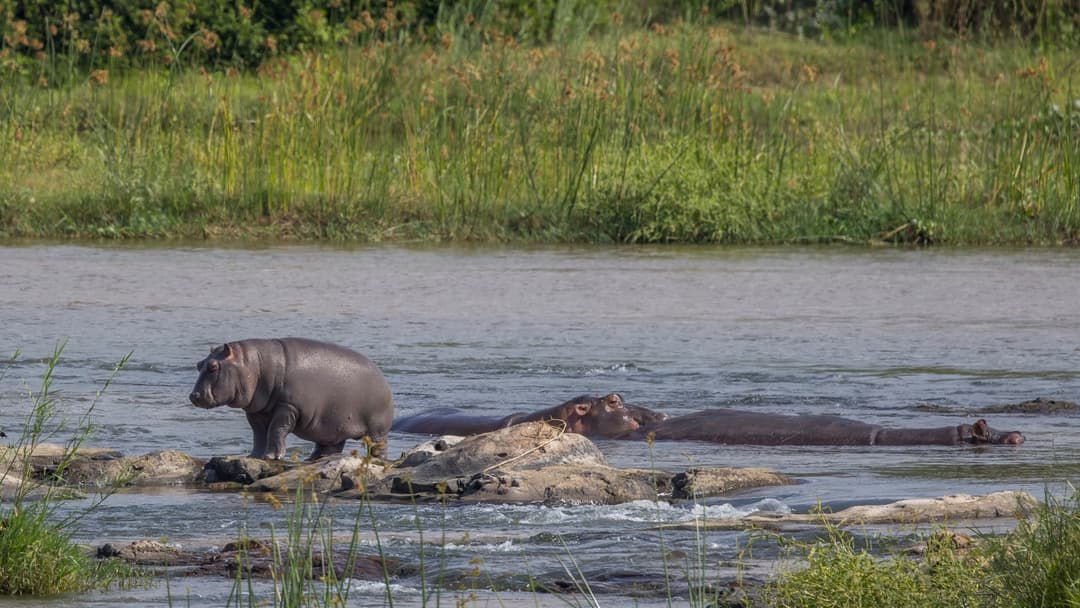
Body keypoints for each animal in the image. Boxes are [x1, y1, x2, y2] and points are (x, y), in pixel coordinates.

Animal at [189, 338, 394, 460]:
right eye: (199, 364)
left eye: (213, 366)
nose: (194, 395)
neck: (253, 365)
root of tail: (382, 376)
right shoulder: (257, 410)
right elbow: (258, 433)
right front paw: (254, 456)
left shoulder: (289, 406)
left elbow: (276, 429)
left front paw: (271, 456)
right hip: (333, 426)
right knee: (329, 446)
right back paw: (313, 459)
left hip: (377, 429)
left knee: (378, 446)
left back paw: (375, 460)